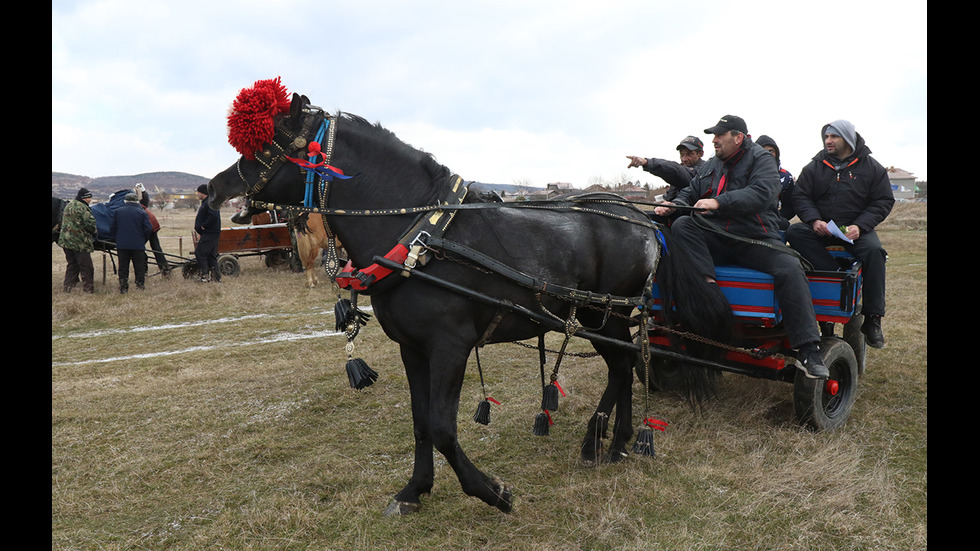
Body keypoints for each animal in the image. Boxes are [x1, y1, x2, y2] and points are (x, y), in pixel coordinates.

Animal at [205, 84, 728, 516]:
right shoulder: (412, 348)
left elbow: (441, 426)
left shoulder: (450, 347)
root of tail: (642, 218)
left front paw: (492, 491)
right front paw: (414, 490)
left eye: (261, 146)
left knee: (622, 367)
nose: (211, 188)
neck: (419, 235)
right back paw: (612, 444)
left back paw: (602, 442)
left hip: (606, 315)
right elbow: (420, 421)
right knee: (624, 367)